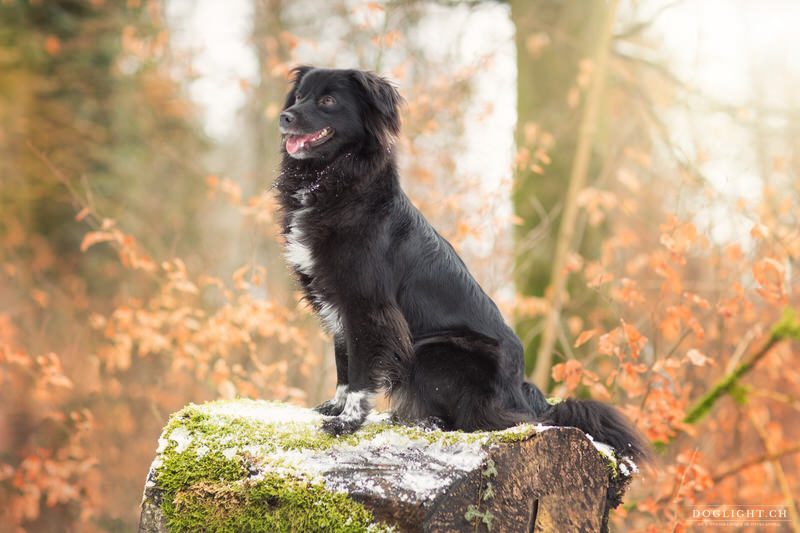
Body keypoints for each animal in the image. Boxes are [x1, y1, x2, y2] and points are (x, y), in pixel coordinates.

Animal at [276, 65, 648, 462]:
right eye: (299, 96)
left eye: (328, 100)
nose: (284, 117)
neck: (336, 183)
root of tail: (527, 398)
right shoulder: (334, 300)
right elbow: (343, 360)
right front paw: (334, 407)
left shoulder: (366, 304)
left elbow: (360, 368)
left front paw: (346, 423)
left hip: (434, 351)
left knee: (476, 419)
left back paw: (421, 420)